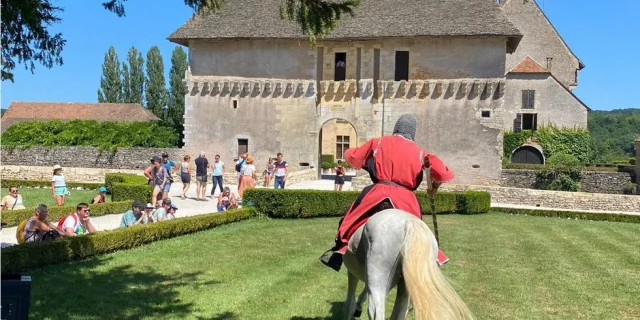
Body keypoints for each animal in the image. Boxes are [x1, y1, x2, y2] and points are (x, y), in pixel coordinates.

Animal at [342, 209, 472, 318]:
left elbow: (350, 303)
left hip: (377, 279)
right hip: (405, 288)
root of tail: (410, 222)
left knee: (375, 311)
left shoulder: (352, 274)